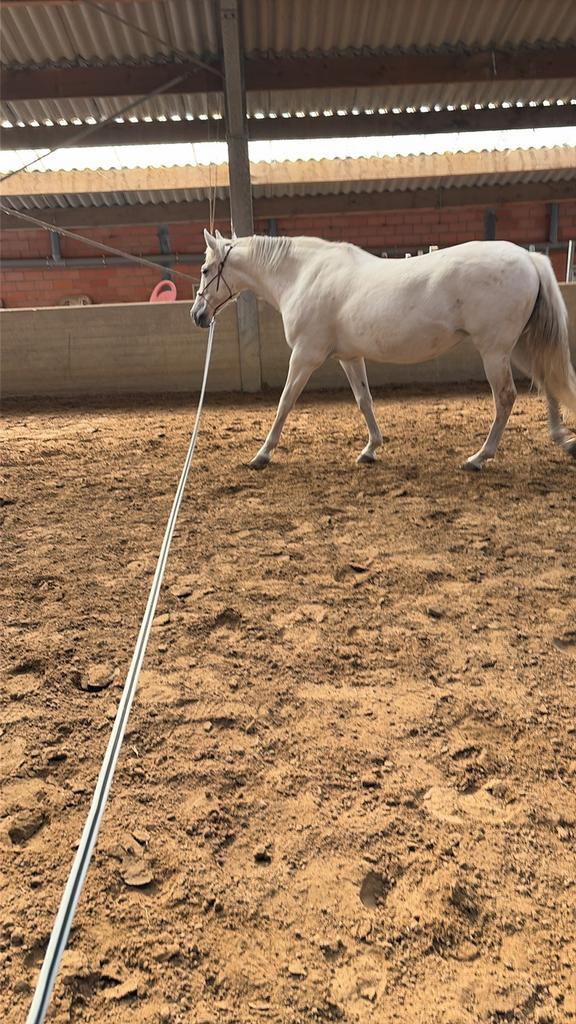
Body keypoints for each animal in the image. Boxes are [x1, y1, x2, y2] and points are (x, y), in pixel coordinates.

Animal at [191, 230, 576, 472]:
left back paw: (479, 458)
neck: (303, 275)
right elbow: (365, 400)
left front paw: (262, 454)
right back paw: (563, 440)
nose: (197, 315)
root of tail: (528, 258)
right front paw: (370, 449)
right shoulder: (349, 357)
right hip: (518, 346)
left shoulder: (304, 356)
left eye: (206, 269)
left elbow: (285, 402)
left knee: (507, 397)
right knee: (548, 382)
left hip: (494, 351)